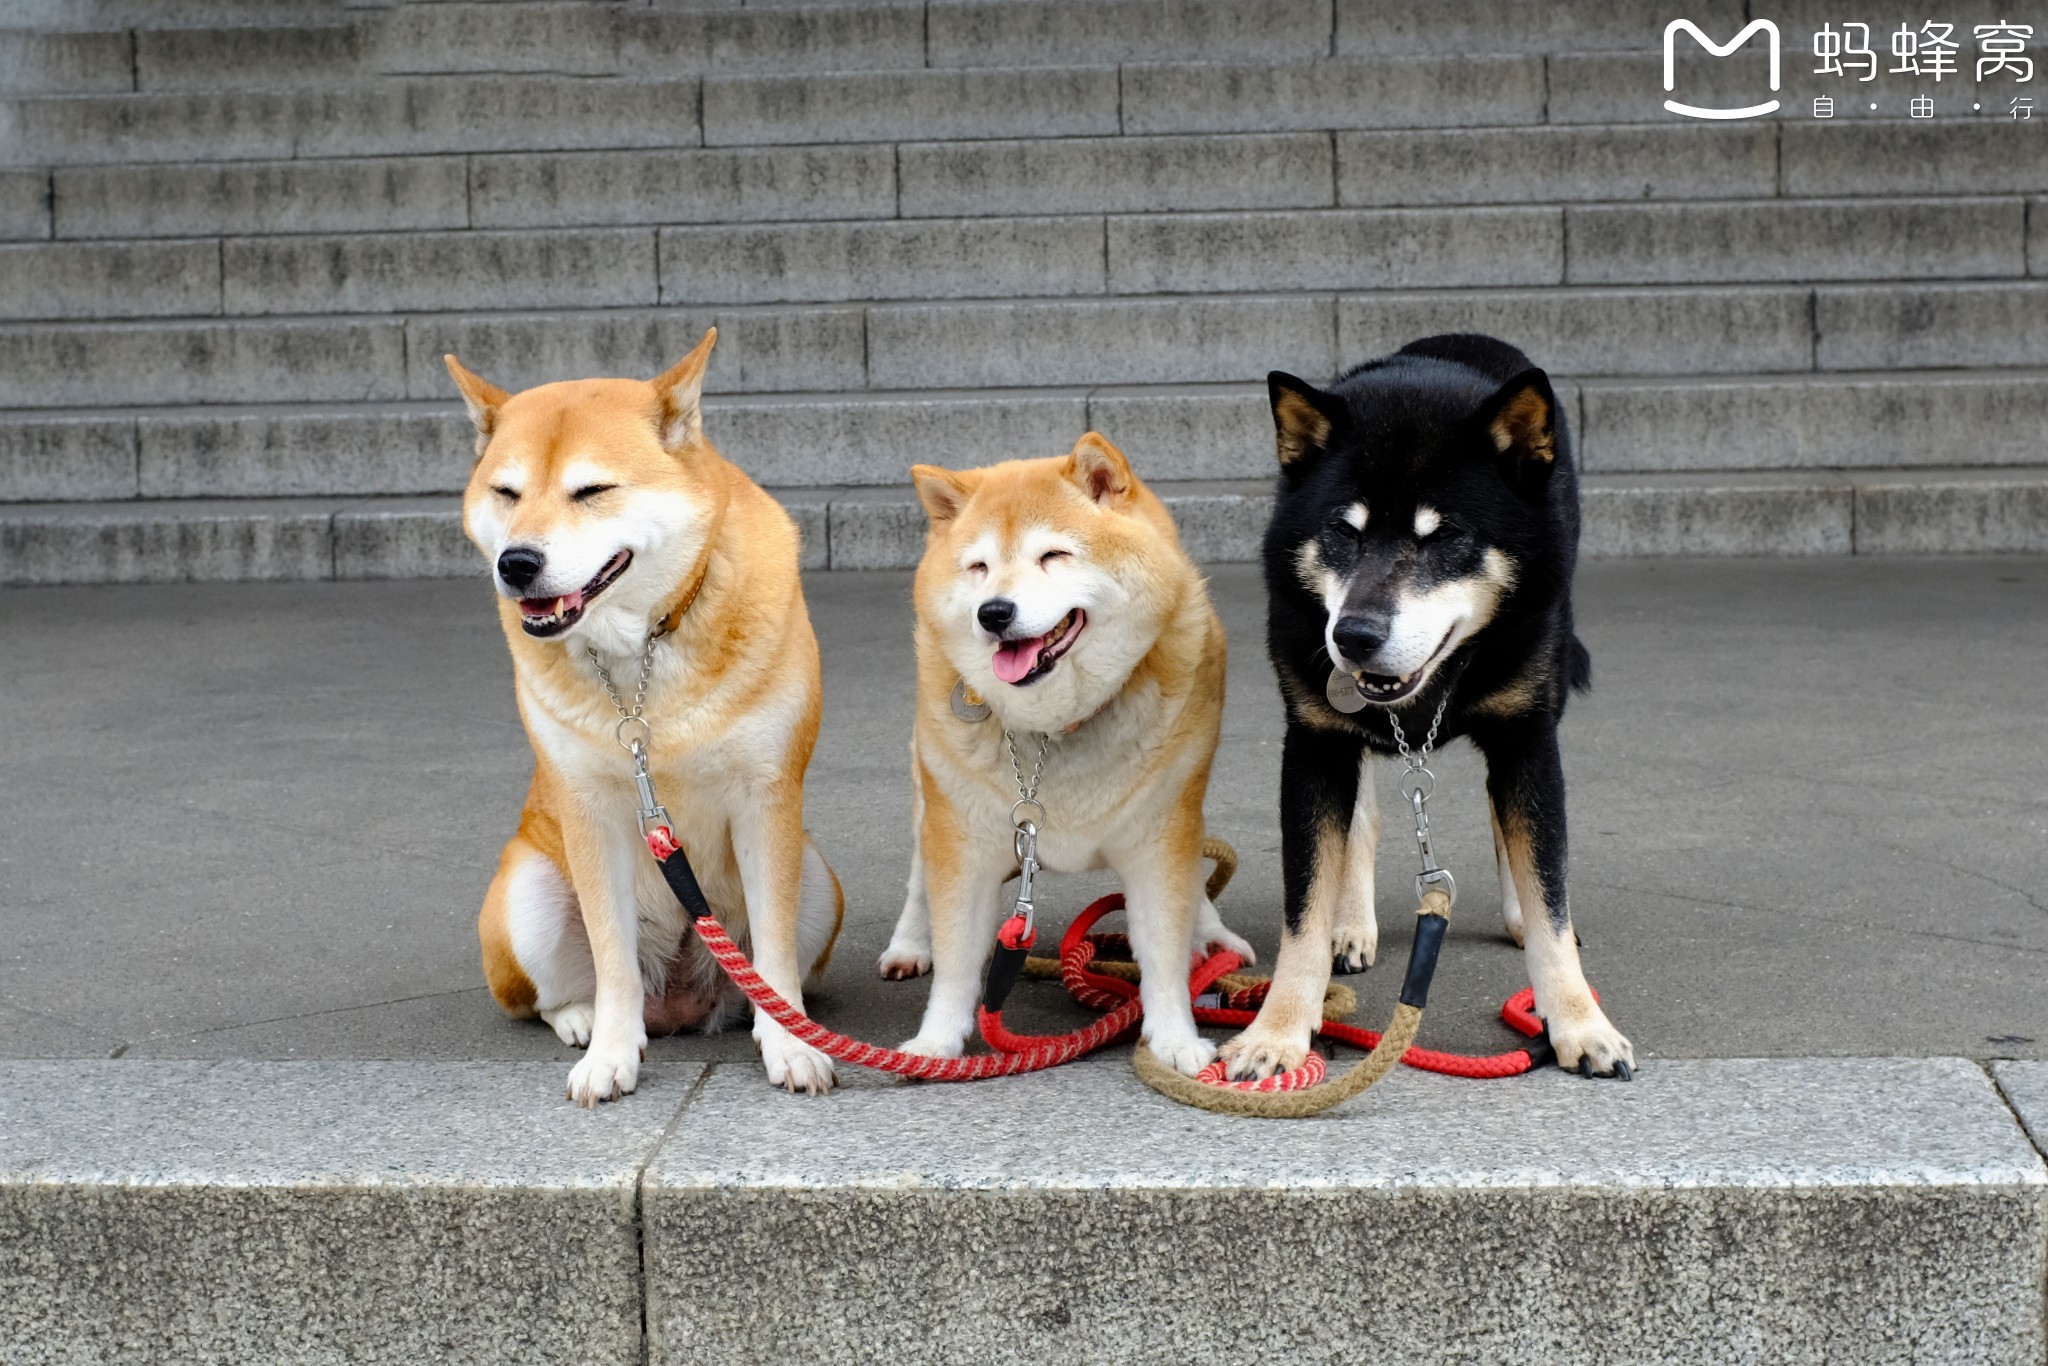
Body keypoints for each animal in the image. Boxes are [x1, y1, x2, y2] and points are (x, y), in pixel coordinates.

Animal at [452, 333, 843, 1114]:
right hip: (527, 894)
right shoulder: (591, 811)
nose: (517, 563)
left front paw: (791, 1046)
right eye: (506, 493)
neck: (640, 655)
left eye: (592, 491)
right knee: (558, 994)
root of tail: (683, 1002)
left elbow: (775, 953)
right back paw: (584, 1019)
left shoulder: (766, 796)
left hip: (818, 881)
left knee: (761, 976)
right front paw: (609, 1055)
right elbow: (612, 958)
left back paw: (761, 1018)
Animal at [888, 432, 1253, 1073]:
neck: (1053, 729)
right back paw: (909, 942)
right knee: (917, 877)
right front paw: (936, 1042)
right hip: (929, 794)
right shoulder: (963, 838)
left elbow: (1163, 948)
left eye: (1053, 556)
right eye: (979, 567)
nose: (993, 612)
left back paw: (1209, 937)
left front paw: (1175, 1040)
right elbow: (957, 956)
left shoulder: (1160, 837)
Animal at [1212, 333, 1630, 1081]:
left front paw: (1580, 1022)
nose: (1352, 635)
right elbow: (1305, 905)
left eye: (1444, 537)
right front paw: (1278, 1030)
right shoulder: (1313, 744)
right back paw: (1352, 925)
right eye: (1343, 533)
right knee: (1363, 817)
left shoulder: (1527, 739)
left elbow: (1547, 889)